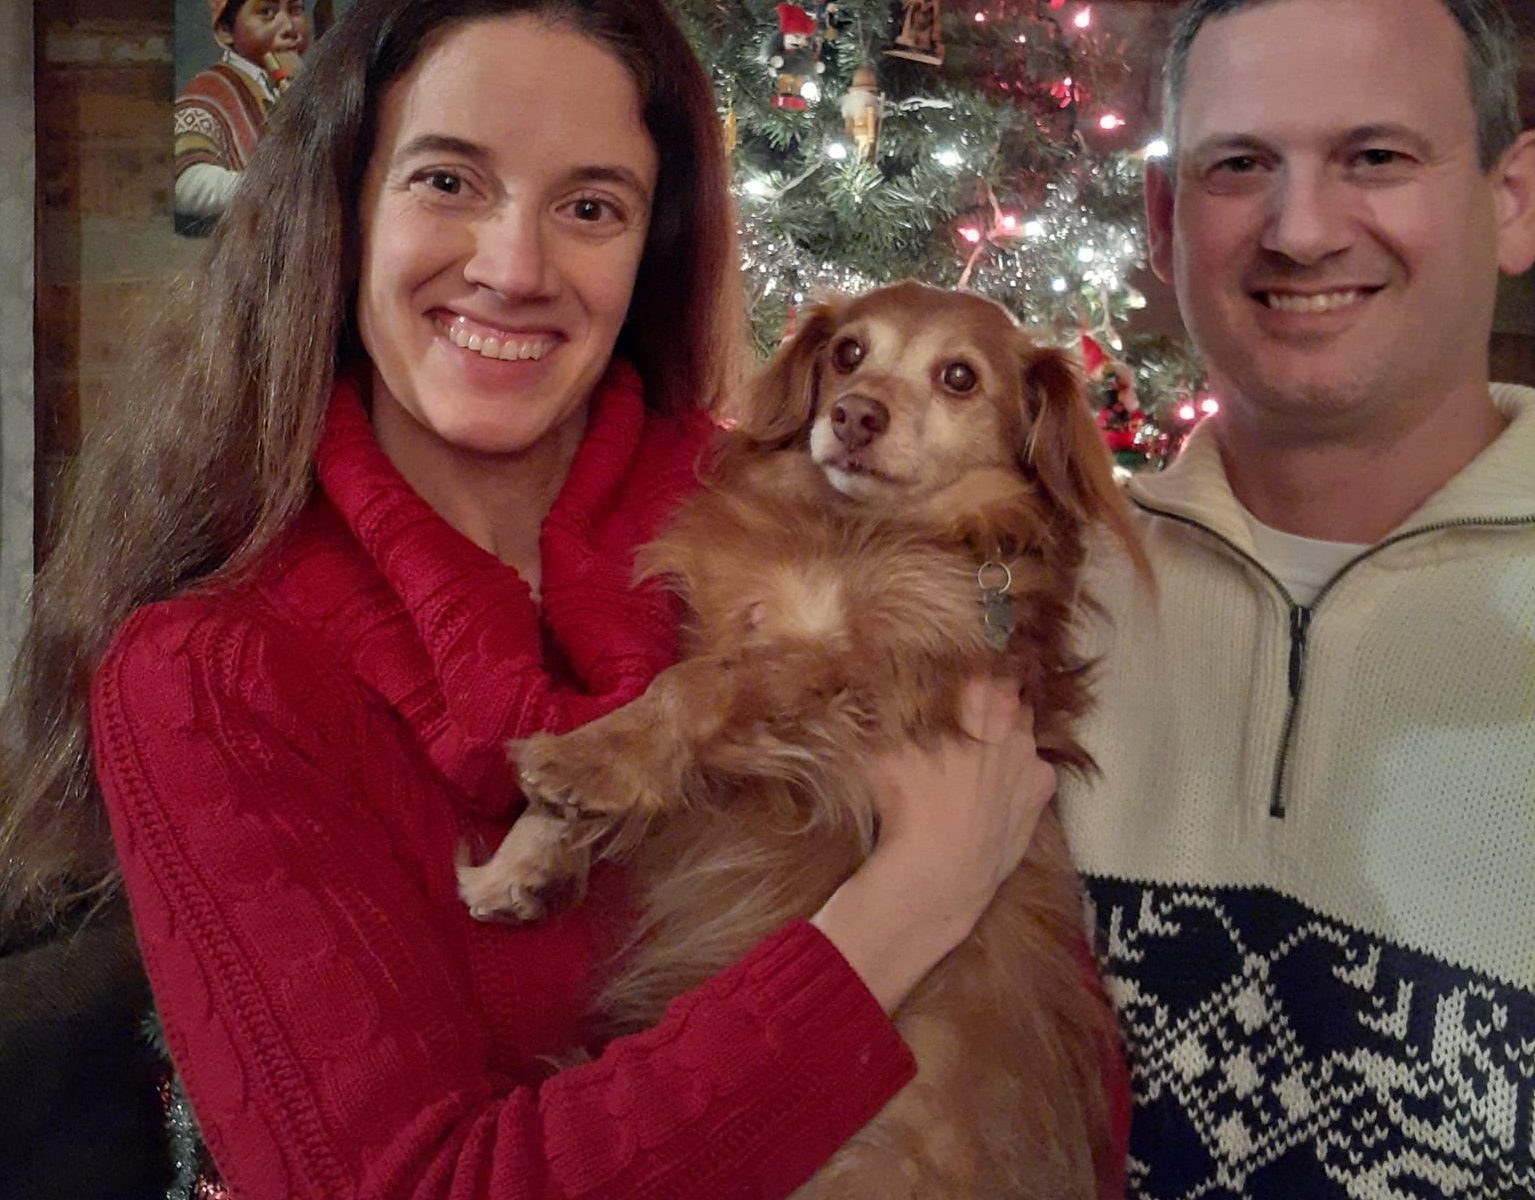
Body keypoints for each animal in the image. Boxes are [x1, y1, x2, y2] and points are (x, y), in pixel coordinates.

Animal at [460, 283, 1148, 1200]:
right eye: (848, 353)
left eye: (959, 377)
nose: (854, 415)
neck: (849, 536)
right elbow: (659, 702)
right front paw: (528, 855)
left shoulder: (856, 687)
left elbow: (694, 685)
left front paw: (585, 760)